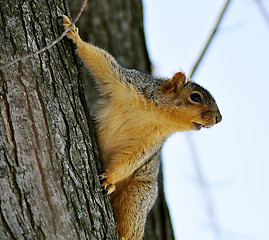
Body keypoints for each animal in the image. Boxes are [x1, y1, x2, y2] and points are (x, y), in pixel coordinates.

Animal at [62, 15, 222, 239]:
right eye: (196, 97)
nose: (219, 118)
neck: (158, 114)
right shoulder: (125, 83)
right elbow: (102, 61)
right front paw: (74, 35)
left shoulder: (150, 141)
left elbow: (133, 158)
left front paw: (110, 177)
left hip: (138, 196)